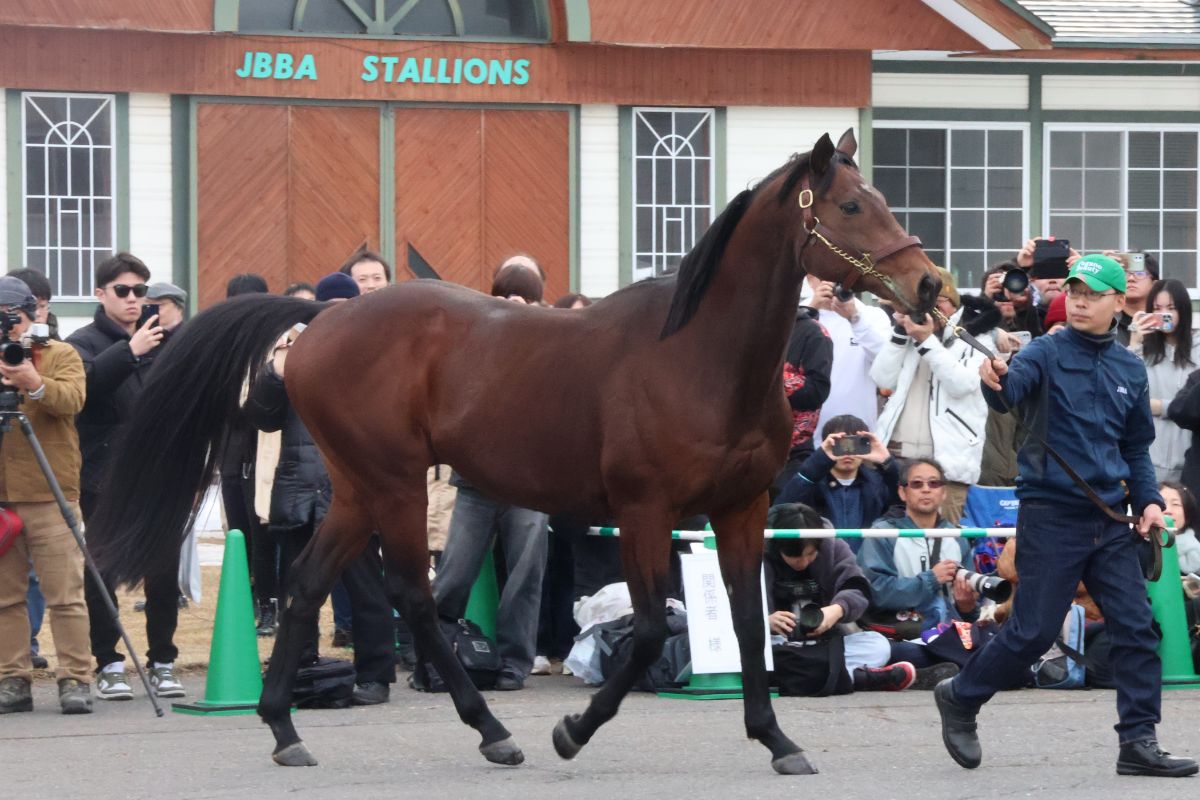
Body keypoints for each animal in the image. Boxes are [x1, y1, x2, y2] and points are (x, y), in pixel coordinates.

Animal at [88, 129, 939, 774]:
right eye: (852, 205)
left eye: (884, 198)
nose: (932, 286)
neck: (698, 356)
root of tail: (319, 320)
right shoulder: (643, 511)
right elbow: (651, 632)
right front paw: (573, 731)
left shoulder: (740, 508)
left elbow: (747, 619)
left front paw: (775, 738)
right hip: (395, 486)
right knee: (414, 598)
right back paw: (491, 730)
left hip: (359, 490)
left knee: (303, 586)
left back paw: (284, 728)